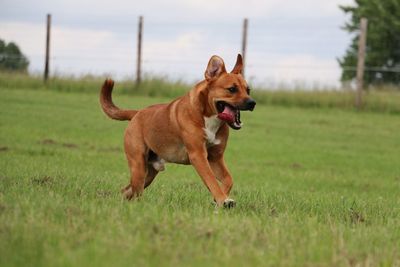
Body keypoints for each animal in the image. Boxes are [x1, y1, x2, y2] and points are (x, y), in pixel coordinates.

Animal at [101, 54, 256, 208]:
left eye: (248, 90)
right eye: (232, 89)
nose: (252, 103)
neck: (208, 117)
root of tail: (137, 113)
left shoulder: (215, 158)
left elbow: (228, 179)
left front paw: (219, 200)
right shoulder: (198, 156)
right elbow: (211, 180)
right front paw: (222, 199)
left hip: (149, 173)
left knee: (127, 190)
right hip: (138, 166)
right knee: (135, 191)